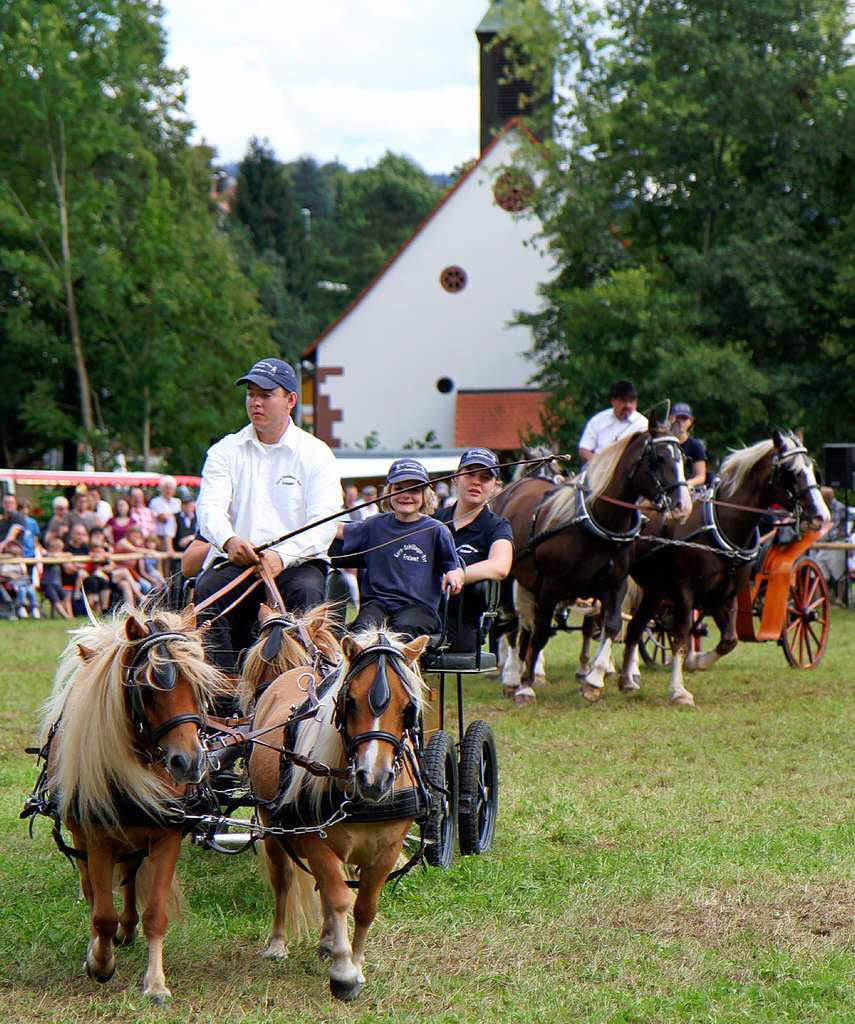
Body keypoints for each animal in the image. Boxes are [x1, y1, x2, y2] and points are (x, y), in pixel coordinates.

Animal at [32, 606, 229, 999]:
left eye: (200, 687)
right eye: (150, 687)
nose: (189, 763)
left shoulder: (166, 836)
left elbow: (155, 913)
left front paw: (155, 982)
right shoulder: (97, 838)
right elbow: (101, 913)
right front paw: (99, 961)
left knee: (128, 877)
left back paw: (129, 926)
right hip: (81, 836)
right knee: (93, 889)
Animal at [243, 622, 432, 999]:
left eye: (408, 707)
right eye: (350, 701)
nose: (374, 778)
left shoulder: (386, 851)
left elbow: (364, 906)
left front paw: (355, 964)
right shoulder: (317, 842)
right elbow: (340, 898)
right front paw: (344, 973)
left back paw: (328, 940)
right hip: (272, 826)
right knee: (284, 879)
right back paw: (278, 943)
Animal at [622, 430, 827, 704]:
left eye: (812, 469)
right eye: (791, 472)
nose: (821, 516)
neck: (721, 526)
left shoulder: (724, 595)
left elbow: (729, 640)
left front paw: (696, 661)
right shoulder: (685, 591)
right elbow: (682, 636)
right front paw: (678, 690)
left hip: (654, 590)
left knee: (634, 627)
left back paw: (628, 677)